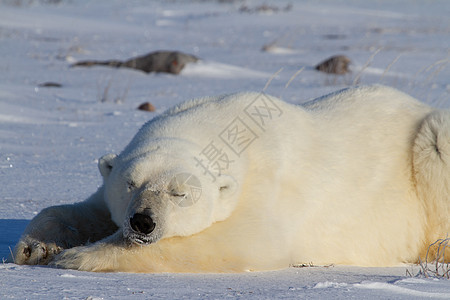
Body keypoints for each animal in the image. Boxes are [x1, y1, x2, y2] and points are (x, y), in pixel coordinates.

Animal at [14, 84, 450, 272]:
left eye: (180, 193)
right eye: (130, 183)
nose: (142, 222)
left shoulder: (271, 185)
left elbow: (242, 241)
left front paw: (78, 256)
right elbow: (88, 209)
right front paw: (37, 247)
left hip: (428, 145)